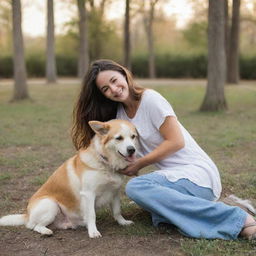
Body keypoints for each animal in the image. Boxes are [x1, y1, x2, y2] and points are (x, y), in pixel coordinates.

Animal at [0, 120, 138, 238]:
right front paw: (93, 232)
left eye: (133, 137)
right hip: (51, 204)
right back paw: (46, 231)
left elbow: (117, 211)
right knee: (33, 226)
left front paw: (123, 222)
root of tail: (27, 215)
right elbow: (92, 215)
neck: (105, 163)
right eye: (119, 138)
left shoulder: (115, 191)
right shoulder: (88, 194)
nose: (132, 149)